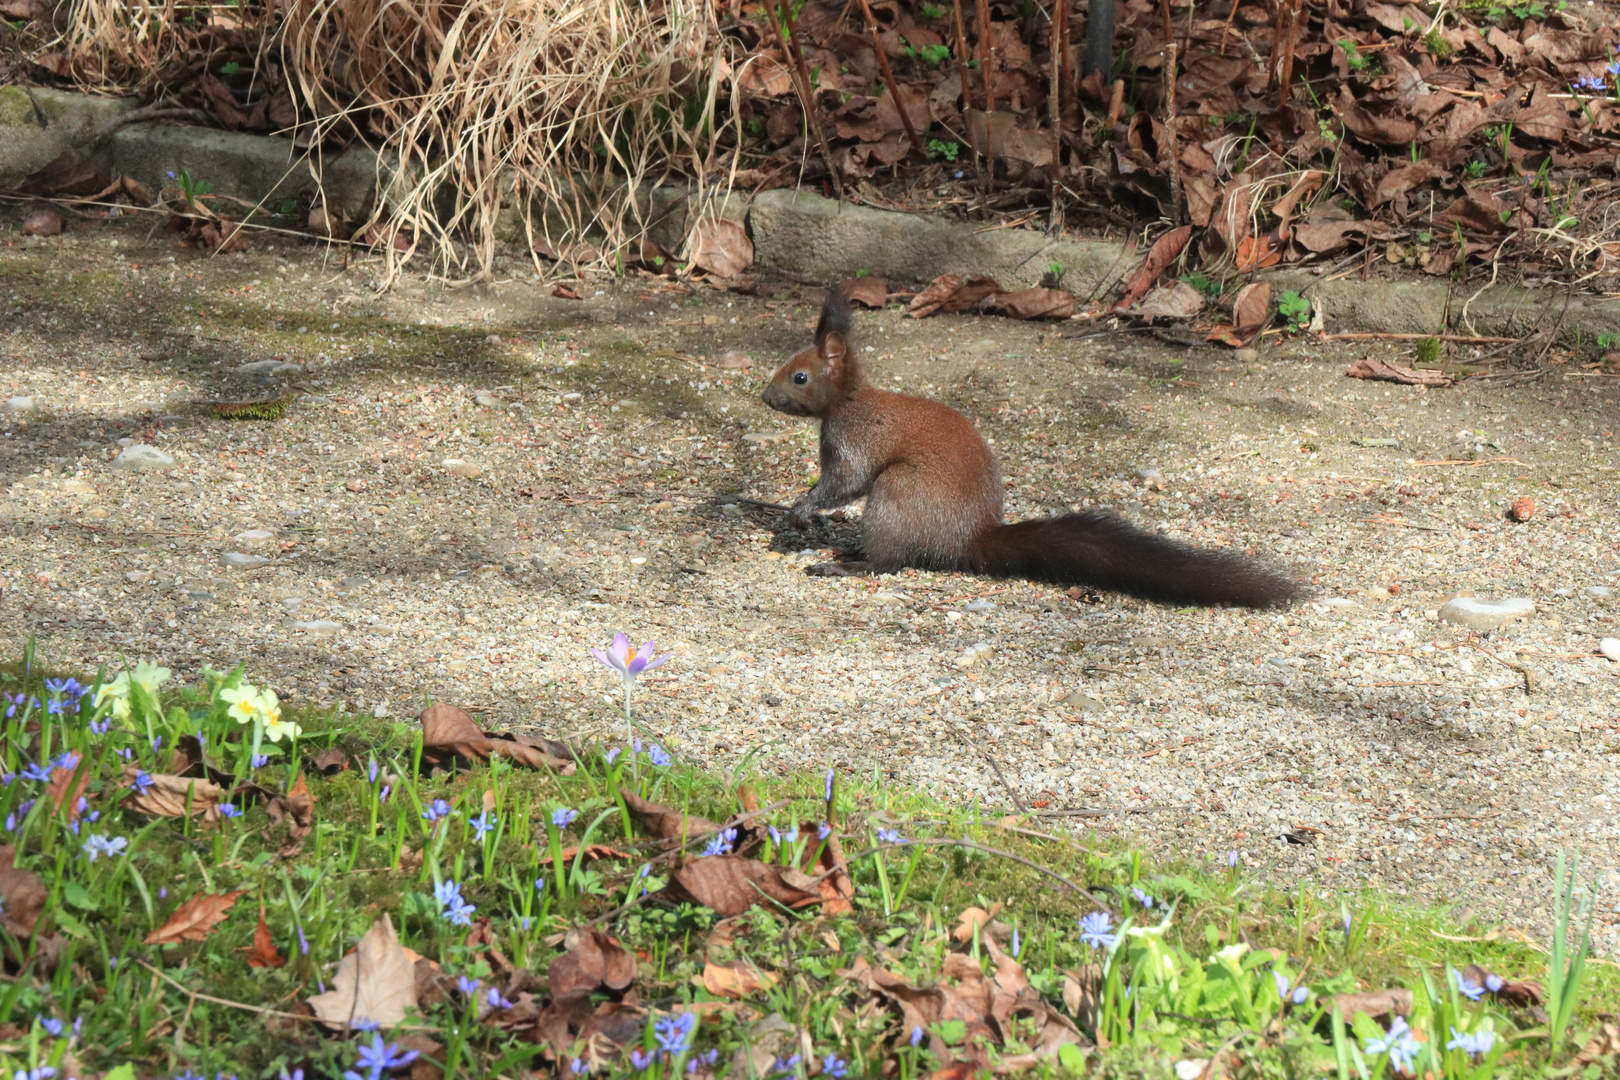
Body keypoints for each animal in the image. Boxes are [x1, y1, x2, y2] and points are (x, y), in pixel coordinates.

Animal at [758, 289, 1302, 608]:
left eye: (799, 376)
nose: (764, 397)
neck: (848, 400)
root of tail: (966, 539)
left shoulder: (853, 442)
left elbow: (843, 484)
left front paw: (800, 509)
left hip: (898, 493)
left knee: (890, 562)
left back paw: (843, 563)